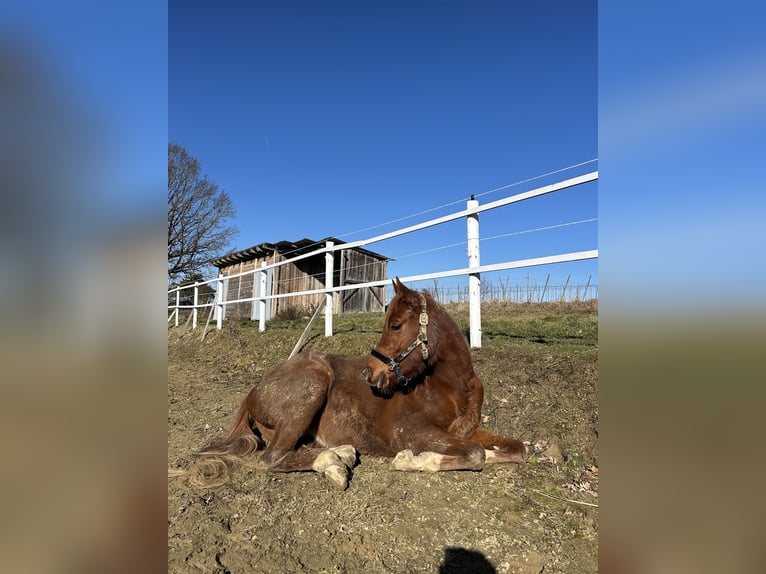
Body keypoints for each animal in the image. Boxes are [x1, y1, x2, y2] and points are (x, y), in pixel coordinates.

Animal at [191, 278, 526, 490]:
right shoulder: (411, 432)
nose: (370, 373)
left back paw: (341, 453)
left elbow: (515, 448)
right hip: (314, 384)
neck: (451, 387)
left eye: (395, 325)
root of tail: (251, 394)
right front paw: (414, 460)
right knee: (273, 458)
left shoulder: (466, 430)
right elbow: (474, 453)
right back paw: (332, 461)